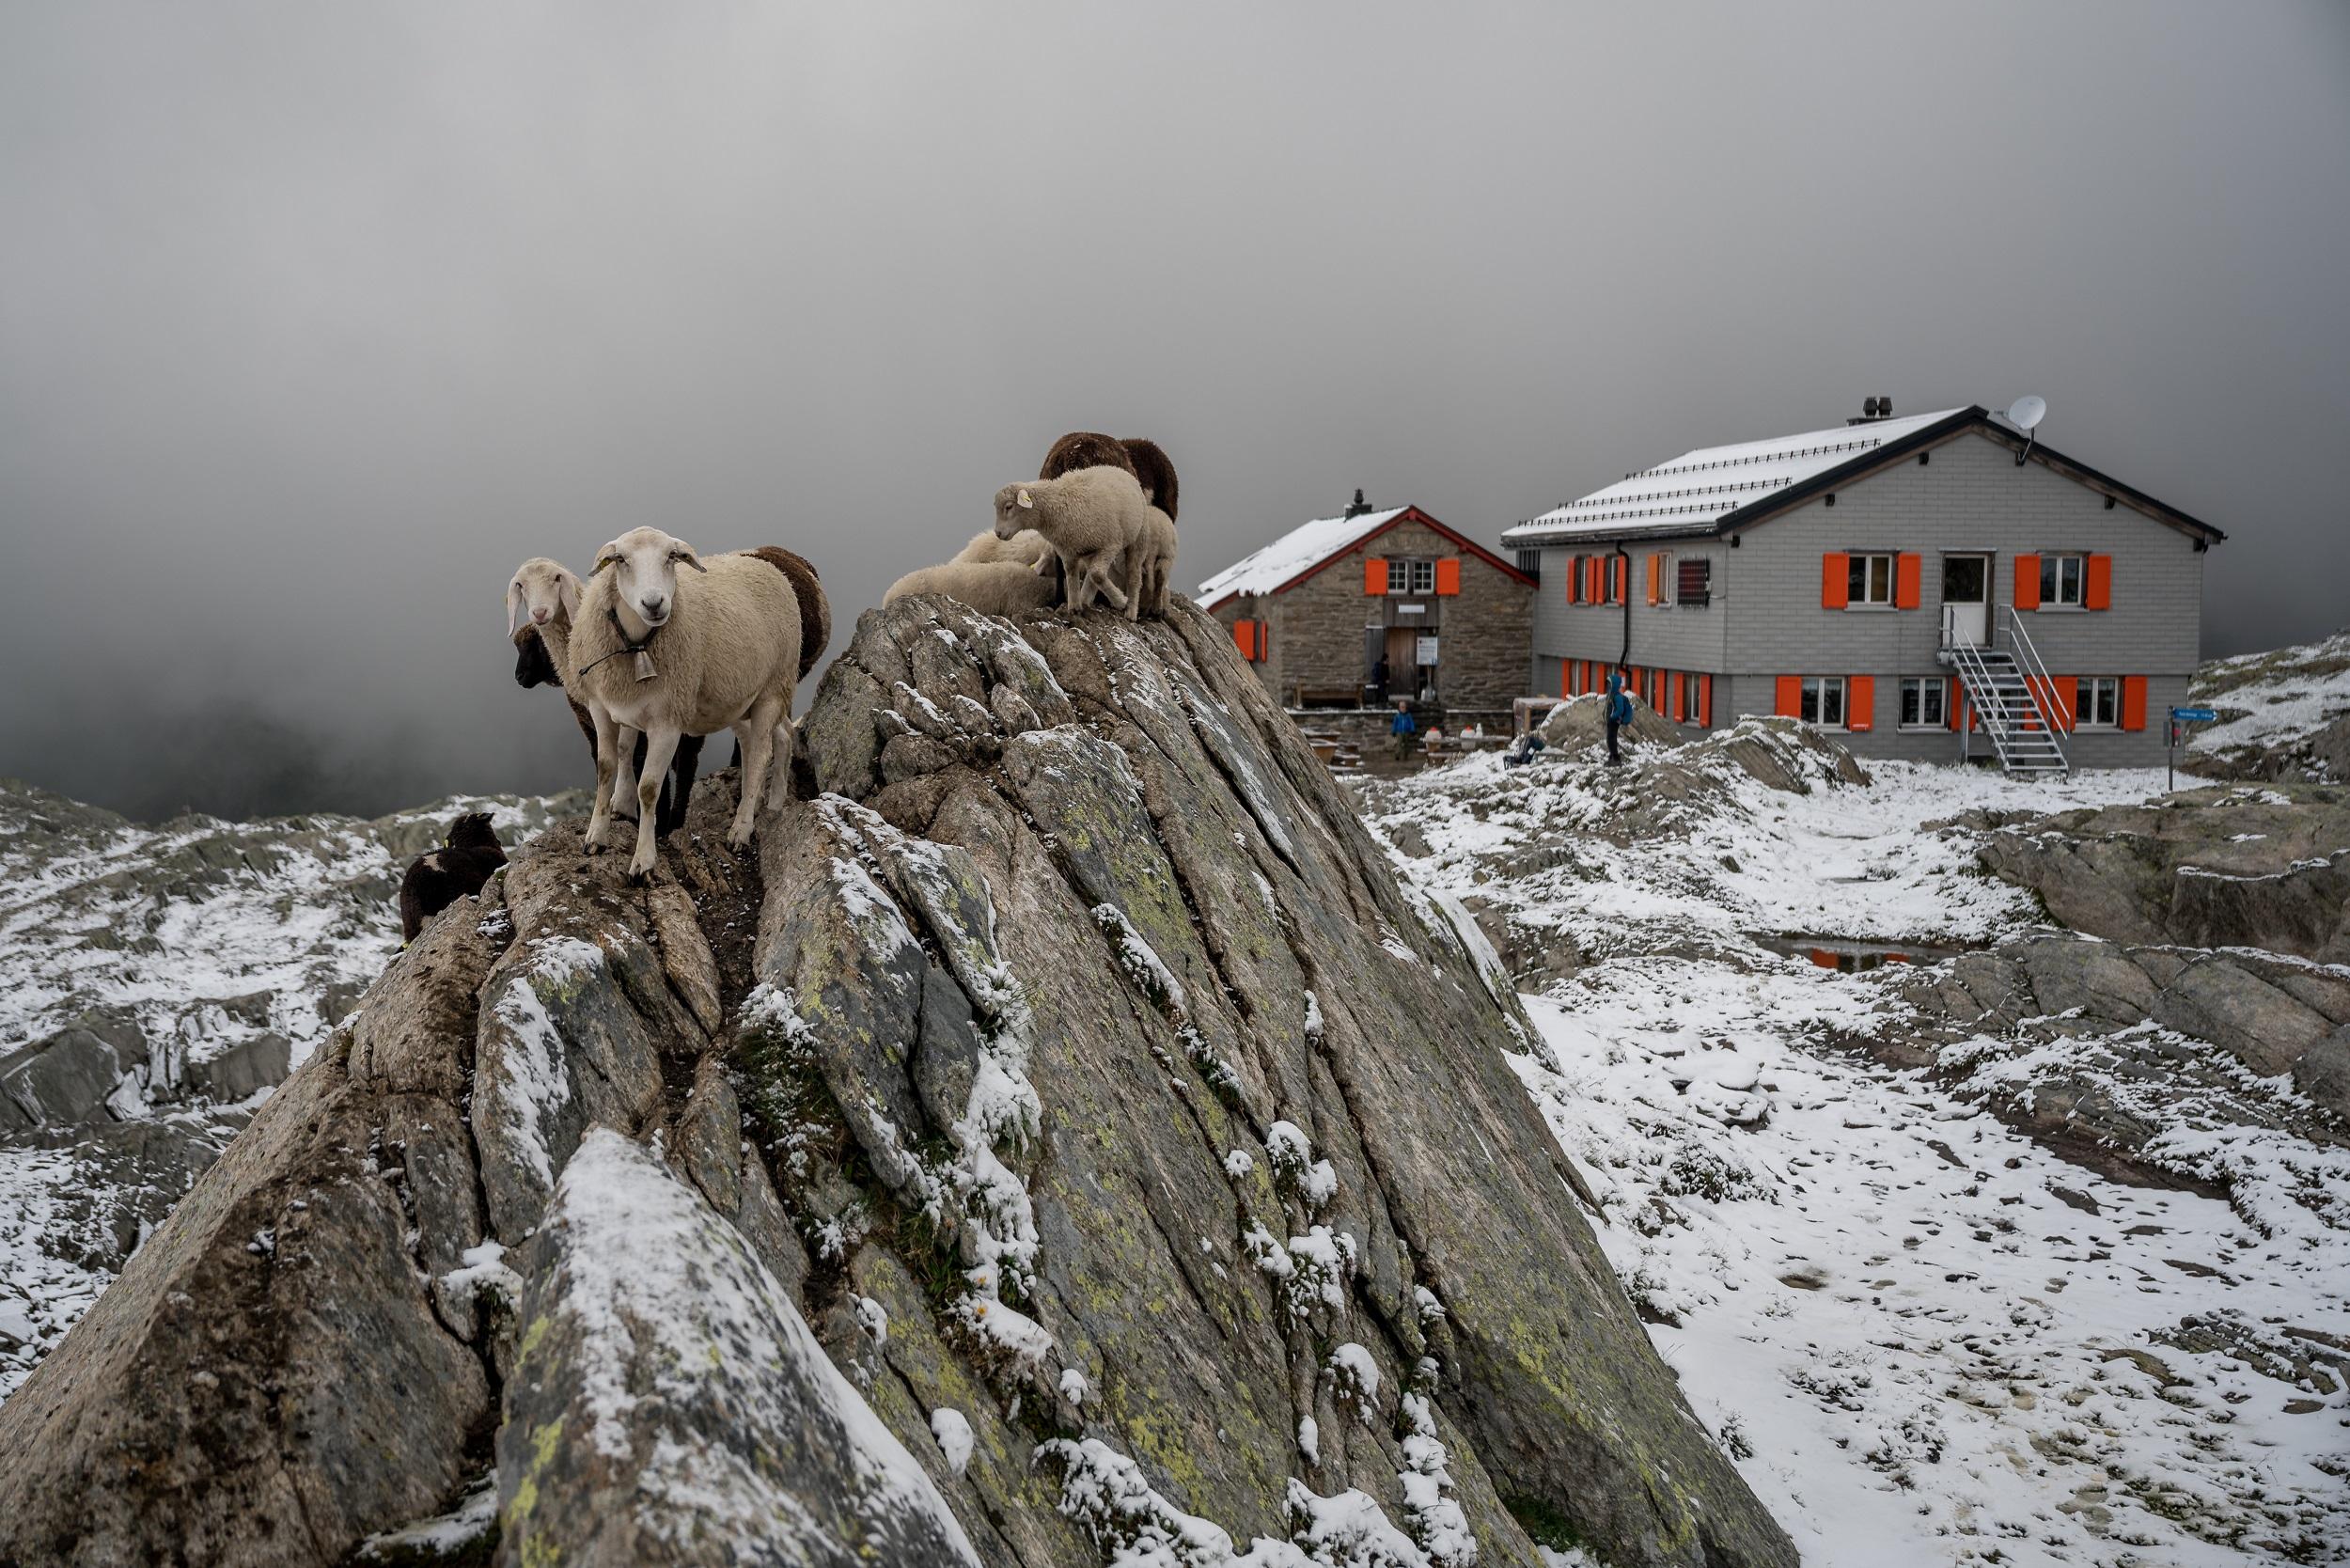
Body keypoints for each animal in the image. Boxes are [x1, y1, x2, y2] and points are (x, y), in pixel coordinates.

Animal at [505, 557, 696, 841]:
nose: (519, 677)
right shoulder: (589, 723)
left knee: (688, 763)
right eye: (521, 585)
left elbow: (637, 761)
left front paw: (651, 824)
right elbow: (603, 761)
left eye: (556, 578)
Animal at [571, 524, 822, 870]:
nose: (654, 603)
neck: (637, 645)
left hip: (773, 688)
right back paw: (771, 804)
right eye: (621, 559)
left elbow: (649, 788)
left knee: (760, 754)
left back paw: (741, 828)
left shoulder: (668, 721)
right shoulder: (602, 707)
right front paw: (596, 836)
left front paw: (644, 861)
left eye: (671, 557)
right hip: (742, 699)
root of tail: (771, 568)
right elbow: (607, 766)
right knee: (778, 737)